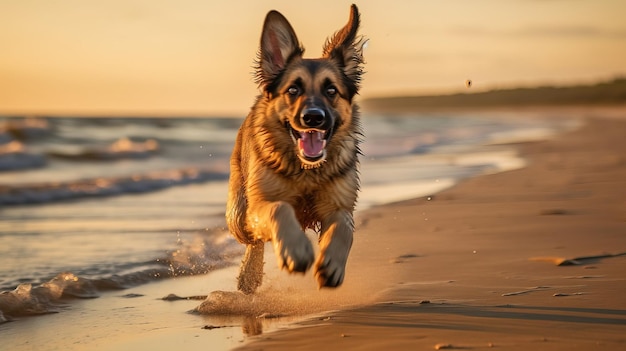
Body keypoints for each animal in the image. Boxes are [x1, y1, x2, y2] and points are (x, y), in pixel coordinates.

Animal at [228, 4, 366, 294]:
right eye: (293, 89)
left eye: (331, 90)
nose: (313, 118)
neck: (306, 171)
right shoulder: (261, 204)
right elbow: (279, 208)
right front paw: (295, 250)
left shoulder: (340, 206)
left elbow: (345, 227)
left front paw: (333, 264)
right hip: (239, 216)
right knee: (252, 238)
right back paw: (249, 273)